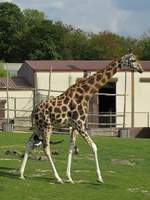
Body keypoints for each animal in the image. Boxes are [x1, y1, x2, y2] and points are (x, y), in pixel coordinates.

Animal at [19, 53, 144, 183]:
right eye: (133, 60)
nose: (141, 69)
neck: (86, 94)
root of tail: (34, 110)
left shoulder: (75, 126)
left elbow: (71, 148)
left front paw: (69, 177)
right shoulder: (80, 124)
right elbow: (94, 147)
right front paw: (99, 178)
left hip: (38, 127)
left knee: (29, 143)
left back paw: (21, 174)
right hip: (47, 126)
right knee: (46, 148)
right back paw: (57, 178)